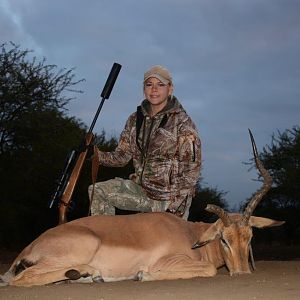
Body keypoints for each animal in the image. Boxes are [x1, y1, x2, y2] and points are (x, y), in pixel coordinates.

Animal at [0, 130, 284, 288]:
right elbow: (209, 269)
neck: (192, 237)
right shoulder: (171, 261)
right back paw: (90, 273)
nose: (242, 274)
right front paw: (143, 276)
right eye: (224, 239)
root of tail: (28, 248)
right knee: (20, 279)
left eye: (250, 237)